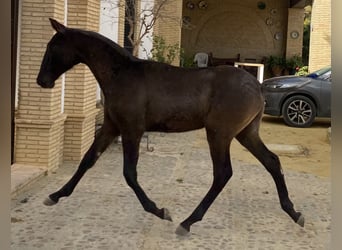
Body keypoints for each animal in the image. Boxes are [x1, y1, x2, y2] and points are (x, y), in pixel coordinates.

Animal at [37, 18, 304, 235]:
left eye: (52, 47)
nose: (42, 81)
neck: (121, 74)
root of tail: (257, 87)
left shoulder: (132, 129)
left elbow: (129, 173)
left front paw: (159, 210)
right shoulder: (112, 127)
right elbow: (88, 159)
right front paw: (55, 195)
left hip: (219, 134)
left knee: (223, 173)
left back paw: (187, 222)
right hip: (246, 133)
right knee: (272, 161)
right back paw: (294, 212)